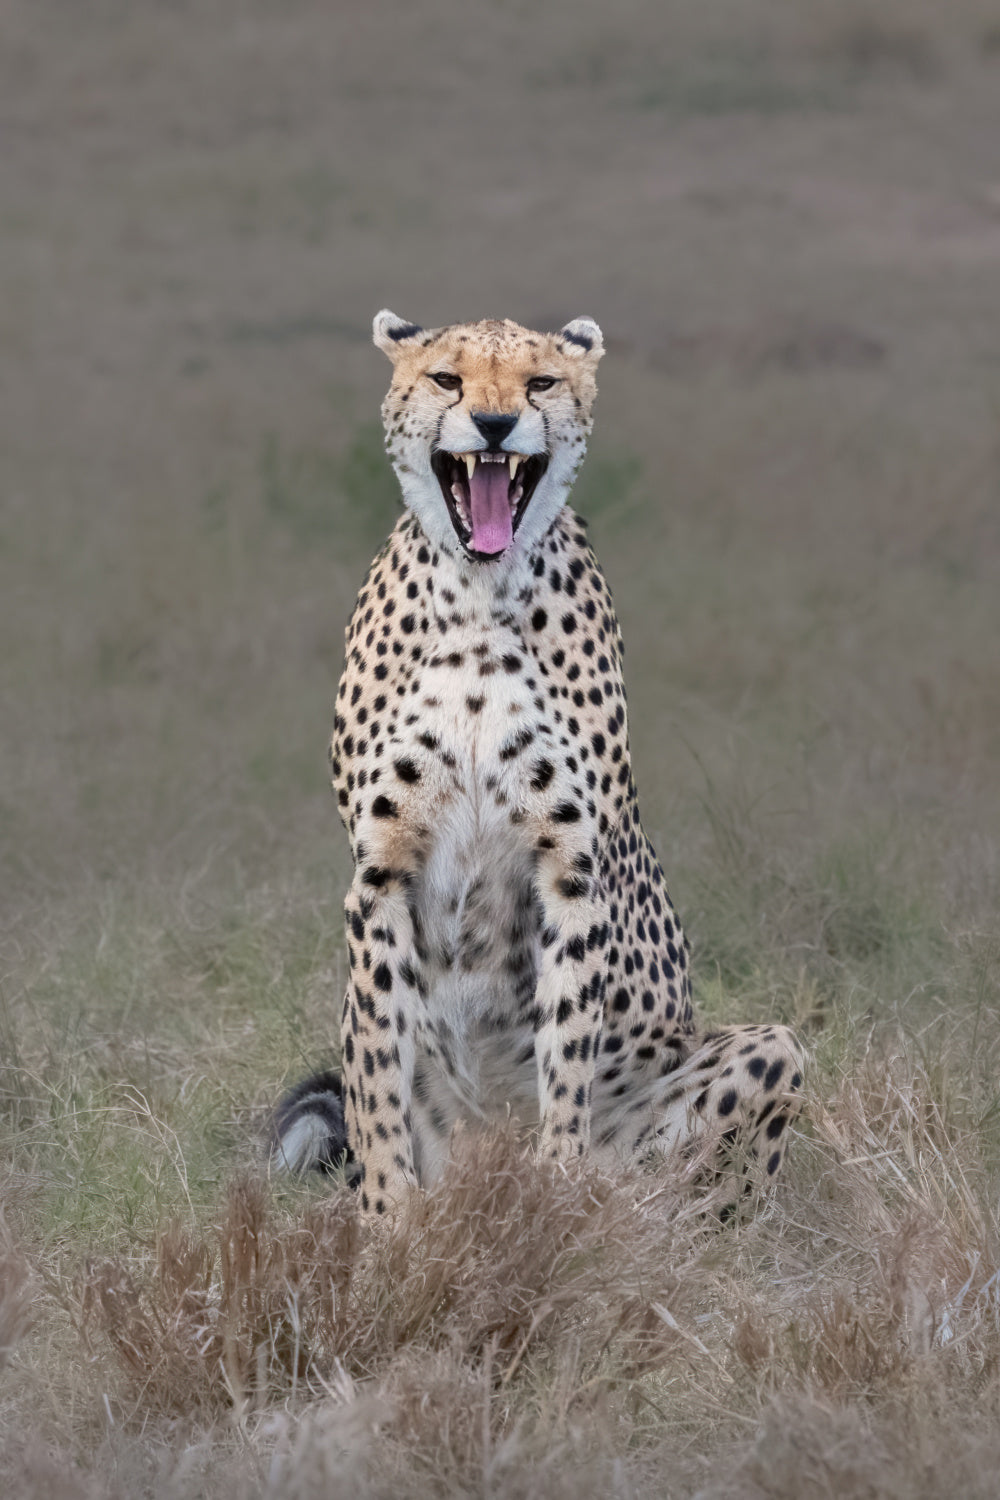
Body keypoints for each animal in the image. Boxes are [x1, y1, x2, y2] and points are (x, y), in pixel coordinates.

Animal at [273, 309, 804, 1216]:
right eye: (447, 379)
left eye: (541, 382)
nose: (494, 424)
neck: (480, 596)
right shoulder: (379, 870)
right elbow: (376, 1074)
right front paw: (387, 1220)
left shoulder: (570, 866)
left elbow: (567, 1054)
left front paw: (555, 1199)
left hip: (769, 1054)